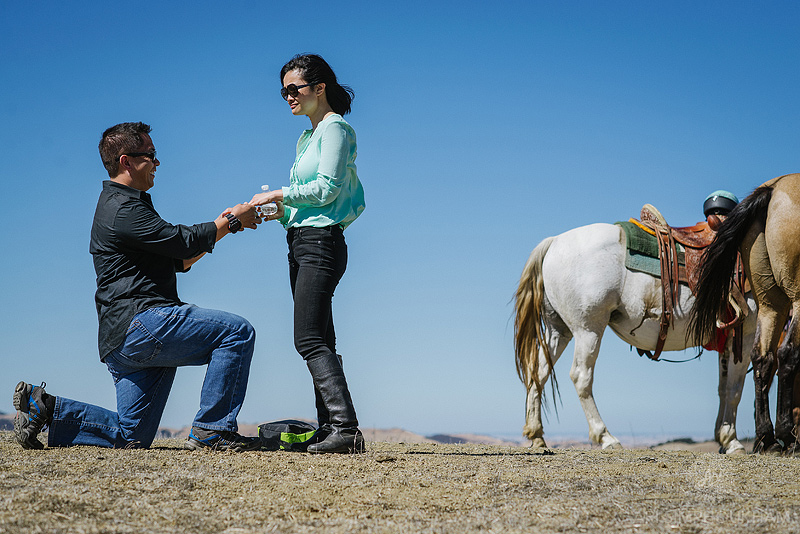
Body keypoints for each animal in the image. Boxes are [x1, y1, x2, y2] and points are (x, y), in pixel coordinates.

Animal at [512, 224, 756, 454]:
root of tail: (554, 242)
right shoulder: (746, 334)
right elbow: (735, 390)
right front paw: (732, 441)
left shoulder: (727, 342)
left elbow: (723, 388)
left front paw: (723, 439)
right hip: (588, 329)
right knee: (581, 376)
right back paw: (606, 437)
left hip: (558, 330)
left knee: (539, 373)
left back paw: (536, 435)